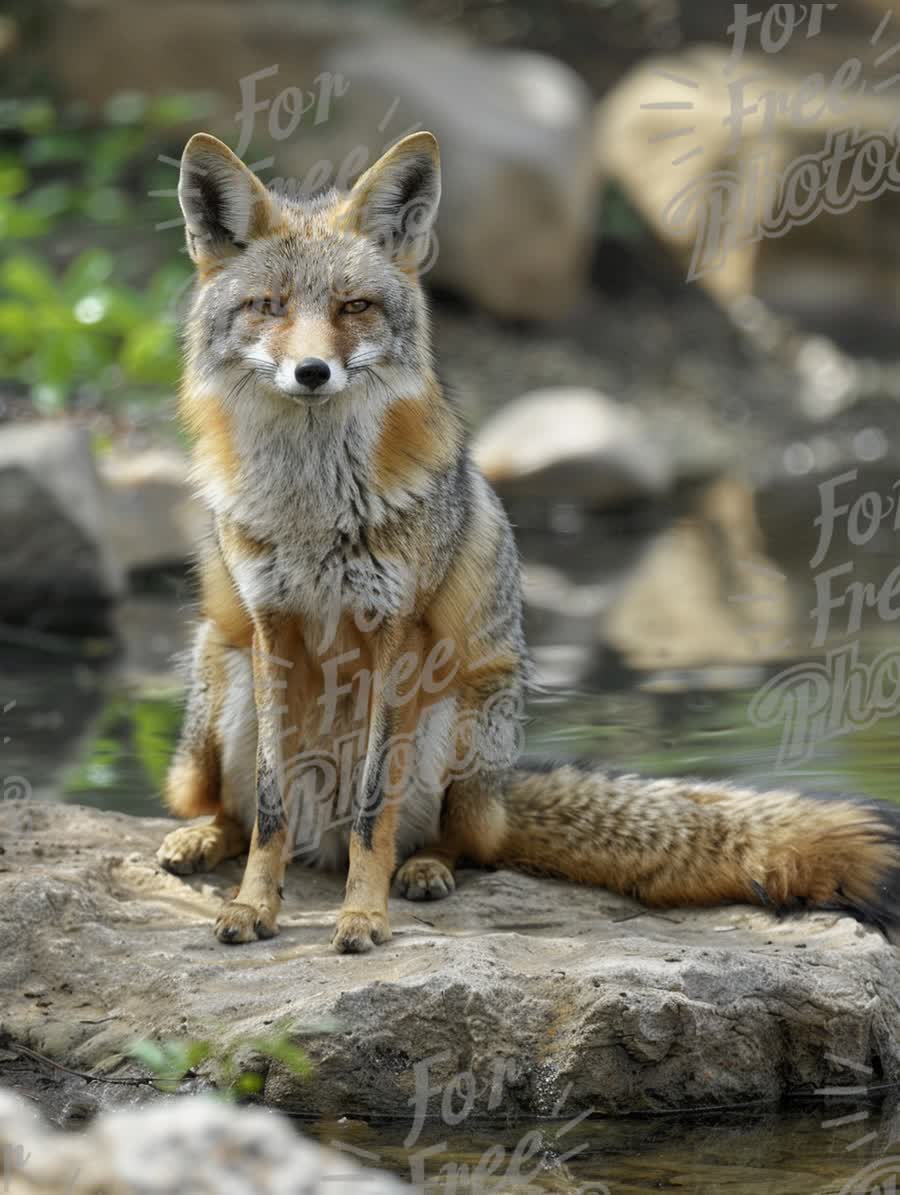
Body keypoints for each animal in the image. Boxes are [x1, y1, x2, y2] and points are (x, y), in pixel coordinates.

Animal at [157, 130, 898, 951]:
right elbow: (270, 811)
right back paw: (200, 839)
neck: (311, 510)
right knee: (237, 811)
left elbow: (374, 816)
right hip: (220, 689)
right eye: (269, 307)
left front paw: (362, 916)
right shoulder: (271, 628)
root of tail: (507, 786)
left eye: (353, 306)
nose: (311, 372)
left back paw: (424, 870)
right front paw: (254, 907)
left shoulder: (398, 635)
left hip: (458, 718)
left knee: (456, 840)